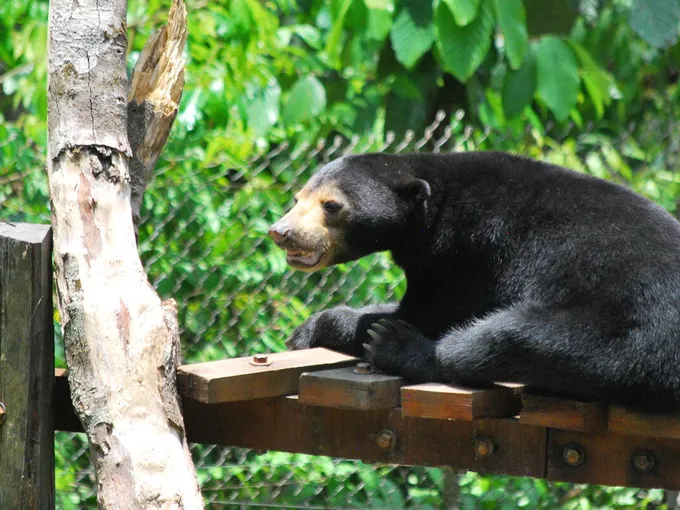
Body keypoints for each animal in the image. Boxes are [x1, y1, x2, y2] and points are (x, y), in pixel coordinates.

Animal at [268, 151, 680, 412]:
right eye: (298, 198)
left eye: (331, 205)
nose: (281, 232)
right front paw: (305, 329)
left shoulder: (467, 250)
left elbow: (430, 313)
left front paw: (348, 329)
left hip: (619, 326)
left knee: (507, 338)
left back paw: (397, 345)